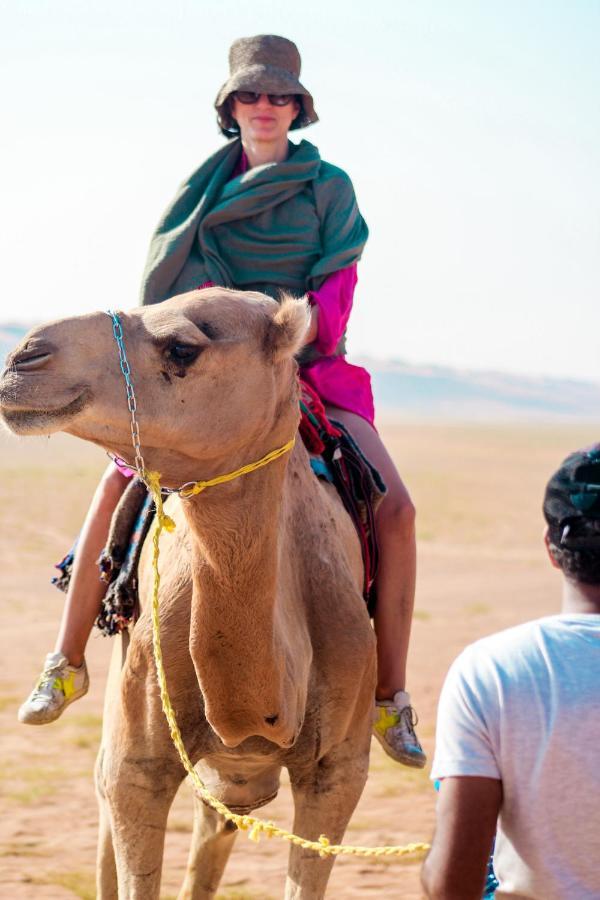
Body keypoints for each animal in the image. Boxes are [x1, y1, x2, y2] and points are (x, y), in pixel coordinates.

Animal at [0, 290, 376, 900]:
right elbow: (129, 820)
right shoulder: (136, 763)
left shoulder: (339, 774)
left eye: (182, 347)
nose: (23, 358)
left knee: (215, 822)